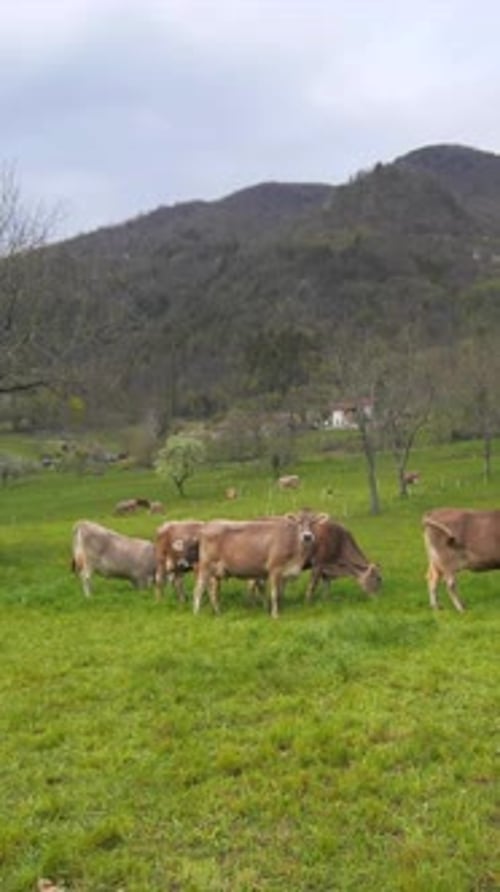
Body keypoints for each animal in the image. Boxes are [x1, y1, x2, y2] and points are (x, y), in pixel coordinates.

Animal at [192, 510, 326, 618]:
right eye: (298, 522)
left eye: (314, 522)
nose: (307, 536)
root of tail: (208, 524)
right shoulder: (274, 569)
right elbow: (274, 593)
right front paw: (275, 615)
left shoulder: (285, 574)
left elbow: (280, 594)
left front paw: (281, 609)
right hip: (205, 566)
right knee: (199, 589)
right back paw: (196, 613)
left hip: (216, 572)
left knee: (213, 591)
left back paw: (218, 612)